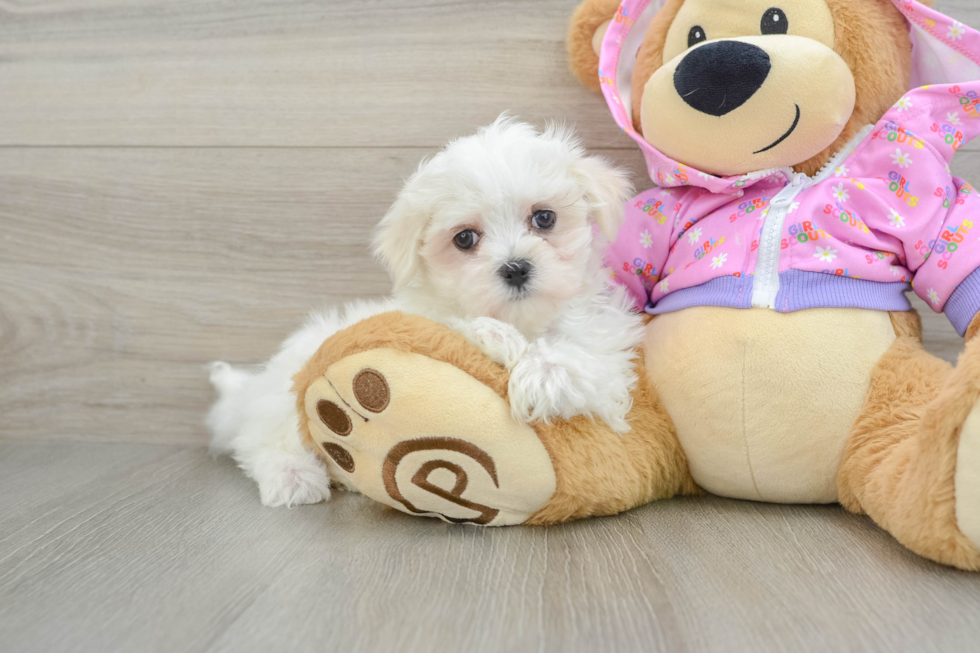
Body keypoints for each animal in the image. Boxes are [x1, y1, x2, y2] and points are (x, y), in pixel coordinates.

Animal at [209, 116, 644, 504]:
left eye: (544, 217)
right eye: (465, 239)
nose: (516, 267)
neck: (525, 321)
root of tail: (250, 389)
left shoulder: (606, 347)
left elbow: (584, 360)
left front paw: (543, 373)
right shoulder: (426, 318)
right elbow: (453, 325)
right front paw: (495, 337)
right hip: (283, 400)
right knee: (262, 441)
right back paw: (293, 476)